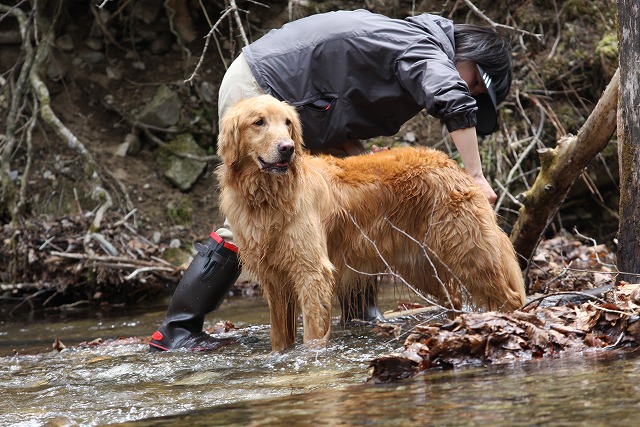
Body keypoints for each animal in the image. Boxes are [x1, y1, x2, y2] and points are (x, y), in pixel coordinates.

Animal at [215, 94, 524, 352]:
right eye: (259, 122)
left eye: (288, 122)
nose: (287, 149)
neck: (268, 198)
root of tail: (451, 163)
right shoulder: (273, 278)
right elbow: (279, 336)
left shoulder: (312, 272)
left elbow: (313, 335)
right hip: (421, 264)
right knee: (454, 298)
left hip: (469, 252)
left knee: (509, 297)